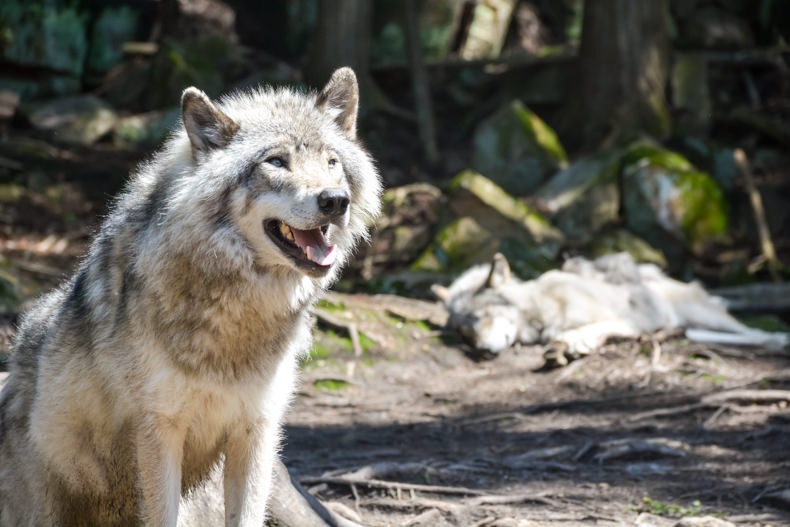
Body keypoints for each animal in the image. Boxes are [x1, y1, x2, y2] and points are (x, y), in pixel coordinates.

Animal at [0, 68, 384, 524]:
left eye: (332, 162)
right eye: (275, 162)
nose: (335, 201)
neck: (237, 317)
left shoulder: (256, 430)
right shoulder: (161, 431)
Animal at [436, 254, 788, 360]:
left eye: (481, 317)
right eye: (464, 334)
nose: (482, 351)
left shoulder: (632, 321)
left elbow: (591, 328)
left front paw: (570, 343)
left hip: (706, 314)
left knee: (754, 333)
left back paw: (779, 340)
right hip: (694, 325)